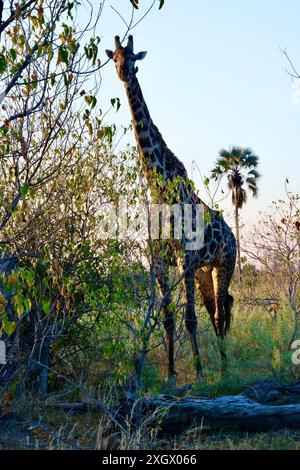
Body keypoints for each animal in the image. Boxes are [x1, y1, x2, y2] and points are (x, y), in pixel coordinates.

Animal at [106, 36, 237, 382]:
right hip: (206, 271)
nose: (124, 72)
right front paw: (171, 374)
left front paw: (200, 373)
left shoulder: (184, 258)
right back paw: (222, 361)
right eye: (115, 58)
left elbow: (189, 317)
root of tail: (233, 236)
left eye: (134, 57)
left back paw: (224, 365)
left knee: (222, 308)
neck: (159, 187)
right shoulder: (160, 260)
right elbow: (167, 318)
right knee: (218, 308)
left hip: (225, 263)